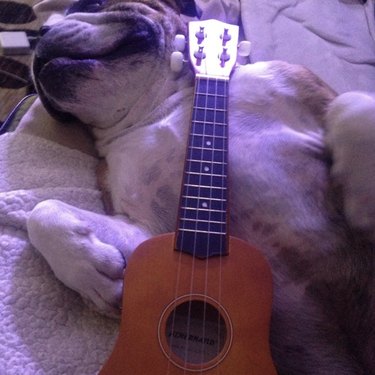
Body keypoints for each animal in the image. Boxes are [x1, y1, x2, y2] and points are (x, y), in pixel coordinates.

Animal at [25, 0, 374, 374]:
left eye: (90, 4)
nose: (40, 32)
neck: (165, 105)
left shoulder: (302, 85)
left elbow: (350, 103)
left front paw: (361, 198)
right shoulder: (148, 231)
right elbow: (41, 210)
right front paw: (90, 273)